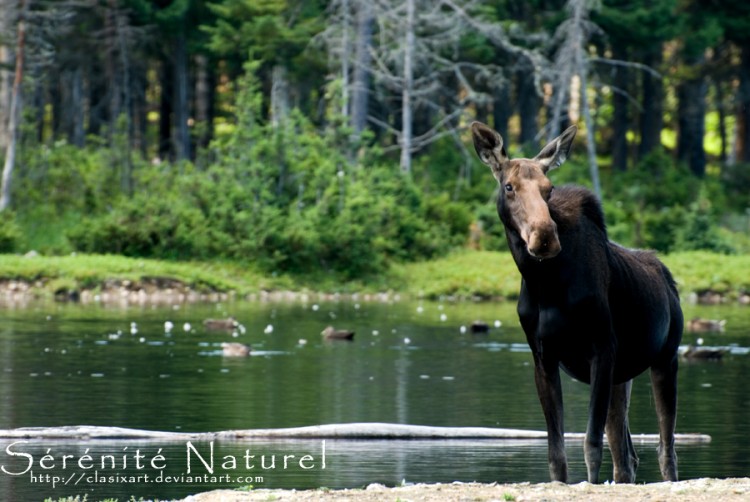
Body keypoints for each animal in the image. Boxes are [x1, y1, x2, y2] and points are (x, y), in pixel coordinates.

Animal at [472, 120, 684, 482]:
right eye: (509, 186)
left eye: (549, 188)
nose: (544, 236)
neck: (545, 285)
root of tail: (670, 283)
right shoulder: (544, 355)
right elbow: (557, 453)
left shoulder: (602, 348)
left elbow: (591, 444)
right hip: (623, 376)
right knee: (626, 455)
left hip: (666, 358)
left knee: (664, 448)